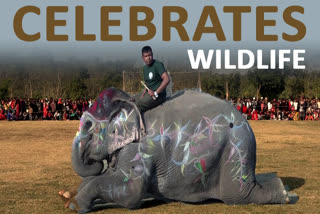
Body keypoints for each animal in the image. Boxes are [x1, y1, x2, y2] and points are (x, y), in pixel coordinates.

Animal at [65, 88, 296, 212]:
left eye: (88, 125)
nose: (96, 161)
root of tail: (246, 121)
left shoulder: (140, 148)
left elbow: (130, 193)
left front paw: (75, 205)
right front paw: (66, 195)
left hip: (236, 145)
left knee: (237, 195)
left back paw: (285, 194)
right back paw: (281, 185)